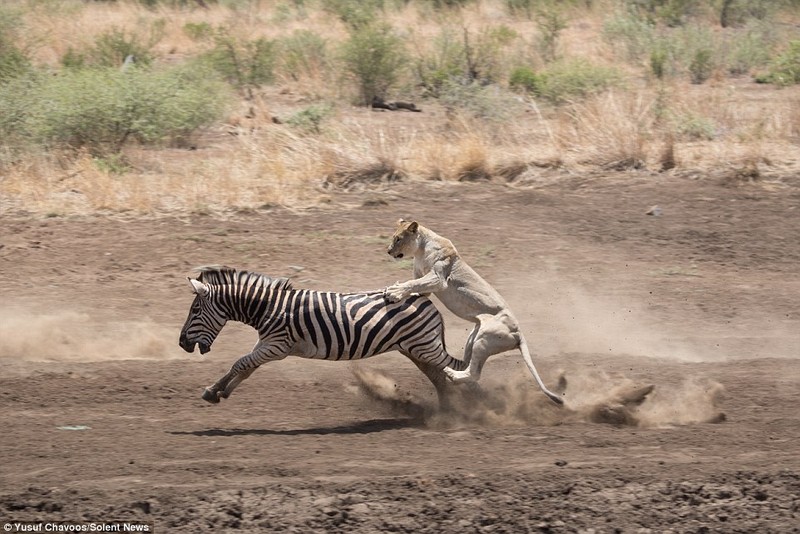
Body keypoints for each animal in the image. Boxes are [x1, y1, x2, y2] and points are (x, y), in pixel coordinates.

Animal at [180, 268, 468, 410]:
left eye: (195, 311)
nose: (182, 343)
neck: (267, 307)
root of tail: (421, 297)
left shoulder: (277, 346)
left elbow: (240, 363)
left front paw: (214, 391)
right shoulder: (267, 344)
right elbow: (247, 367)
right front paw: (220, 391)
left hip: (424, 346)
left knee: (458, 367)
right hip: (413, 348)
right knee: (438, 375)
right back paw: (447, 410)